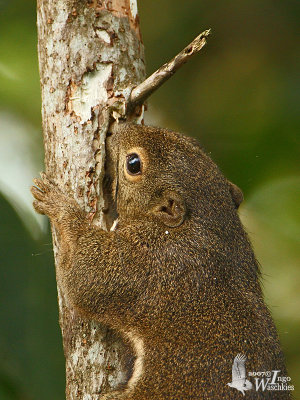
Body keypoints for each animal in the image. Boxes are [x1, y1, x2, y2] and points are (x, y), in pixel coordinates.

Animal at [31, 123, 290, 398]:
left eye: (133, 164)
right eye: (191, 141)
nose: (120, 128)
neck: (207, 226)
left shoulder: (145, 262)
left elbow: (85, 277)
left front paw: (59, 205)